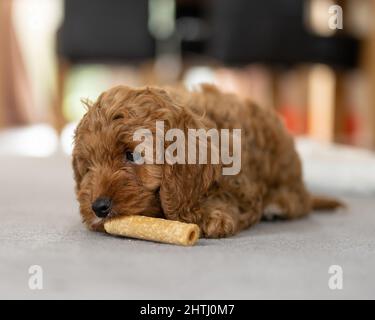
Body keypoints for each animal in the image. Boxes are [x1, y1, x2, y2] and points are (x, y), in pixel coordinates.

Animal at [72, 84, 342, 238]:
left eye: (133, 155)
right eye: (89, 166)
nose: (98, 207)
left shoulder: (243, 185)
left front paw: (210, 214)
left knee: (299, 199)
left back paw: (277, 206)